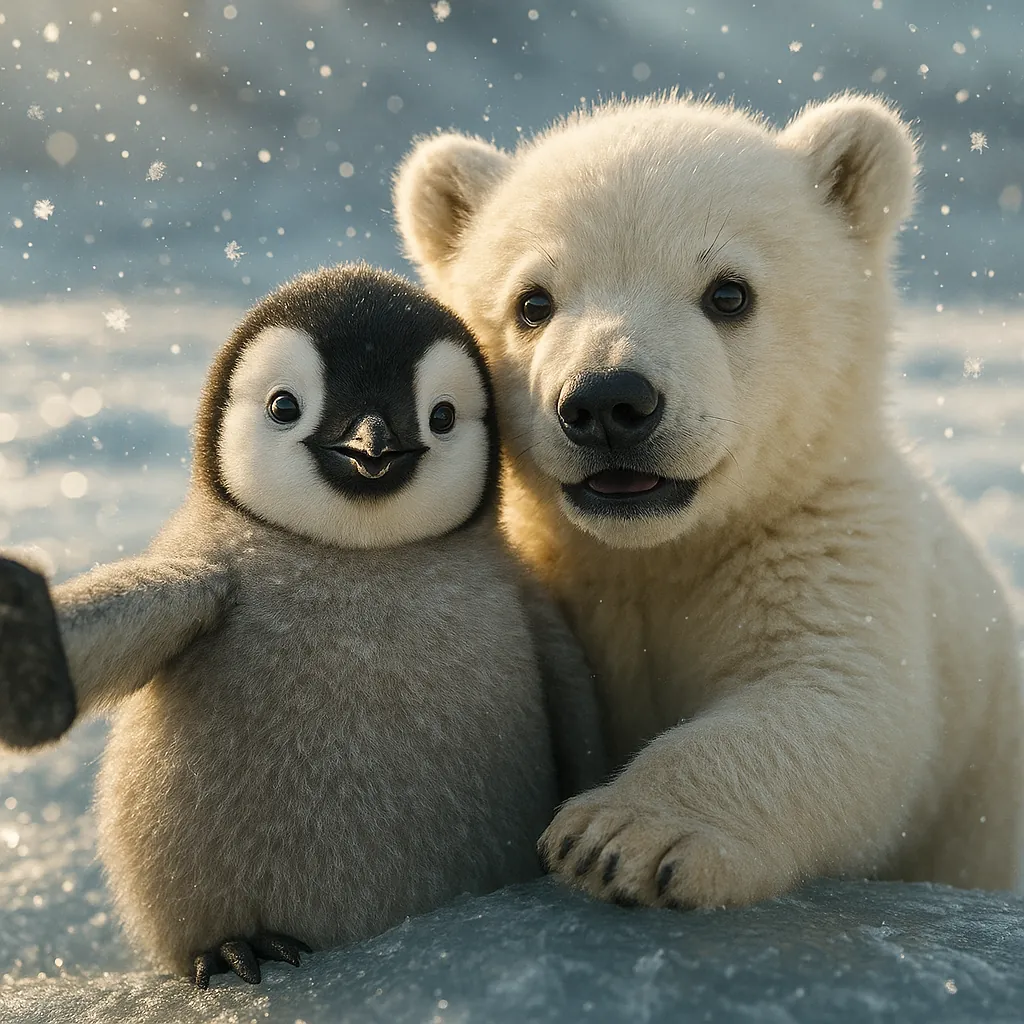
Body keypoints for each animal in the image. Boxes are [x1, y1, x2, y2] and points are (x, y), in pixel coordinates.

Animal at [391, 91, 1024, 909]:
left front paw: (621, 837)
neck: (655, 552)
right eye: (532, 302)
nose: (608, 401)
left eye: (729, 292)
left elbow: (838, 699)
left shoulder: (827, 536)